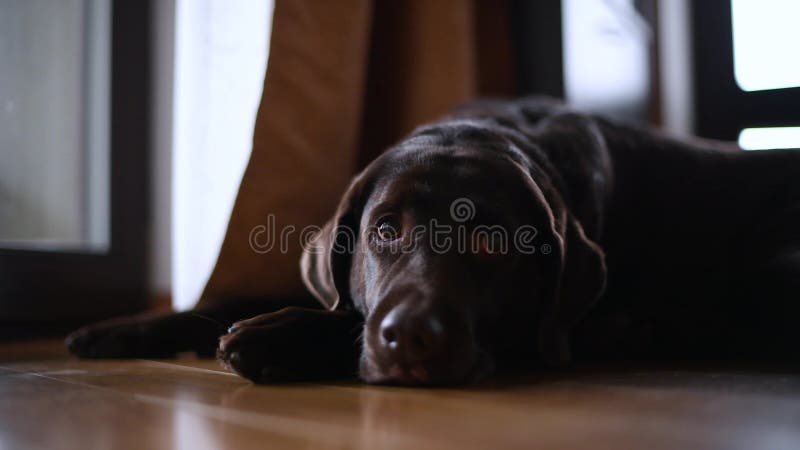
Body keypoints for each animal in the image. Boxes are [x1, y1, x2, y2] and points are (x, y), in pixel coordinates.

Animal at [65, 98, 796, 386]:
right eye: (385, 230)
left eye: (497, 245)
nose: (411, 338)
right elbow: (242, 299)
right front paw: (120, 329)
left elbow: (342, 321)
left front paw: (275, 336)